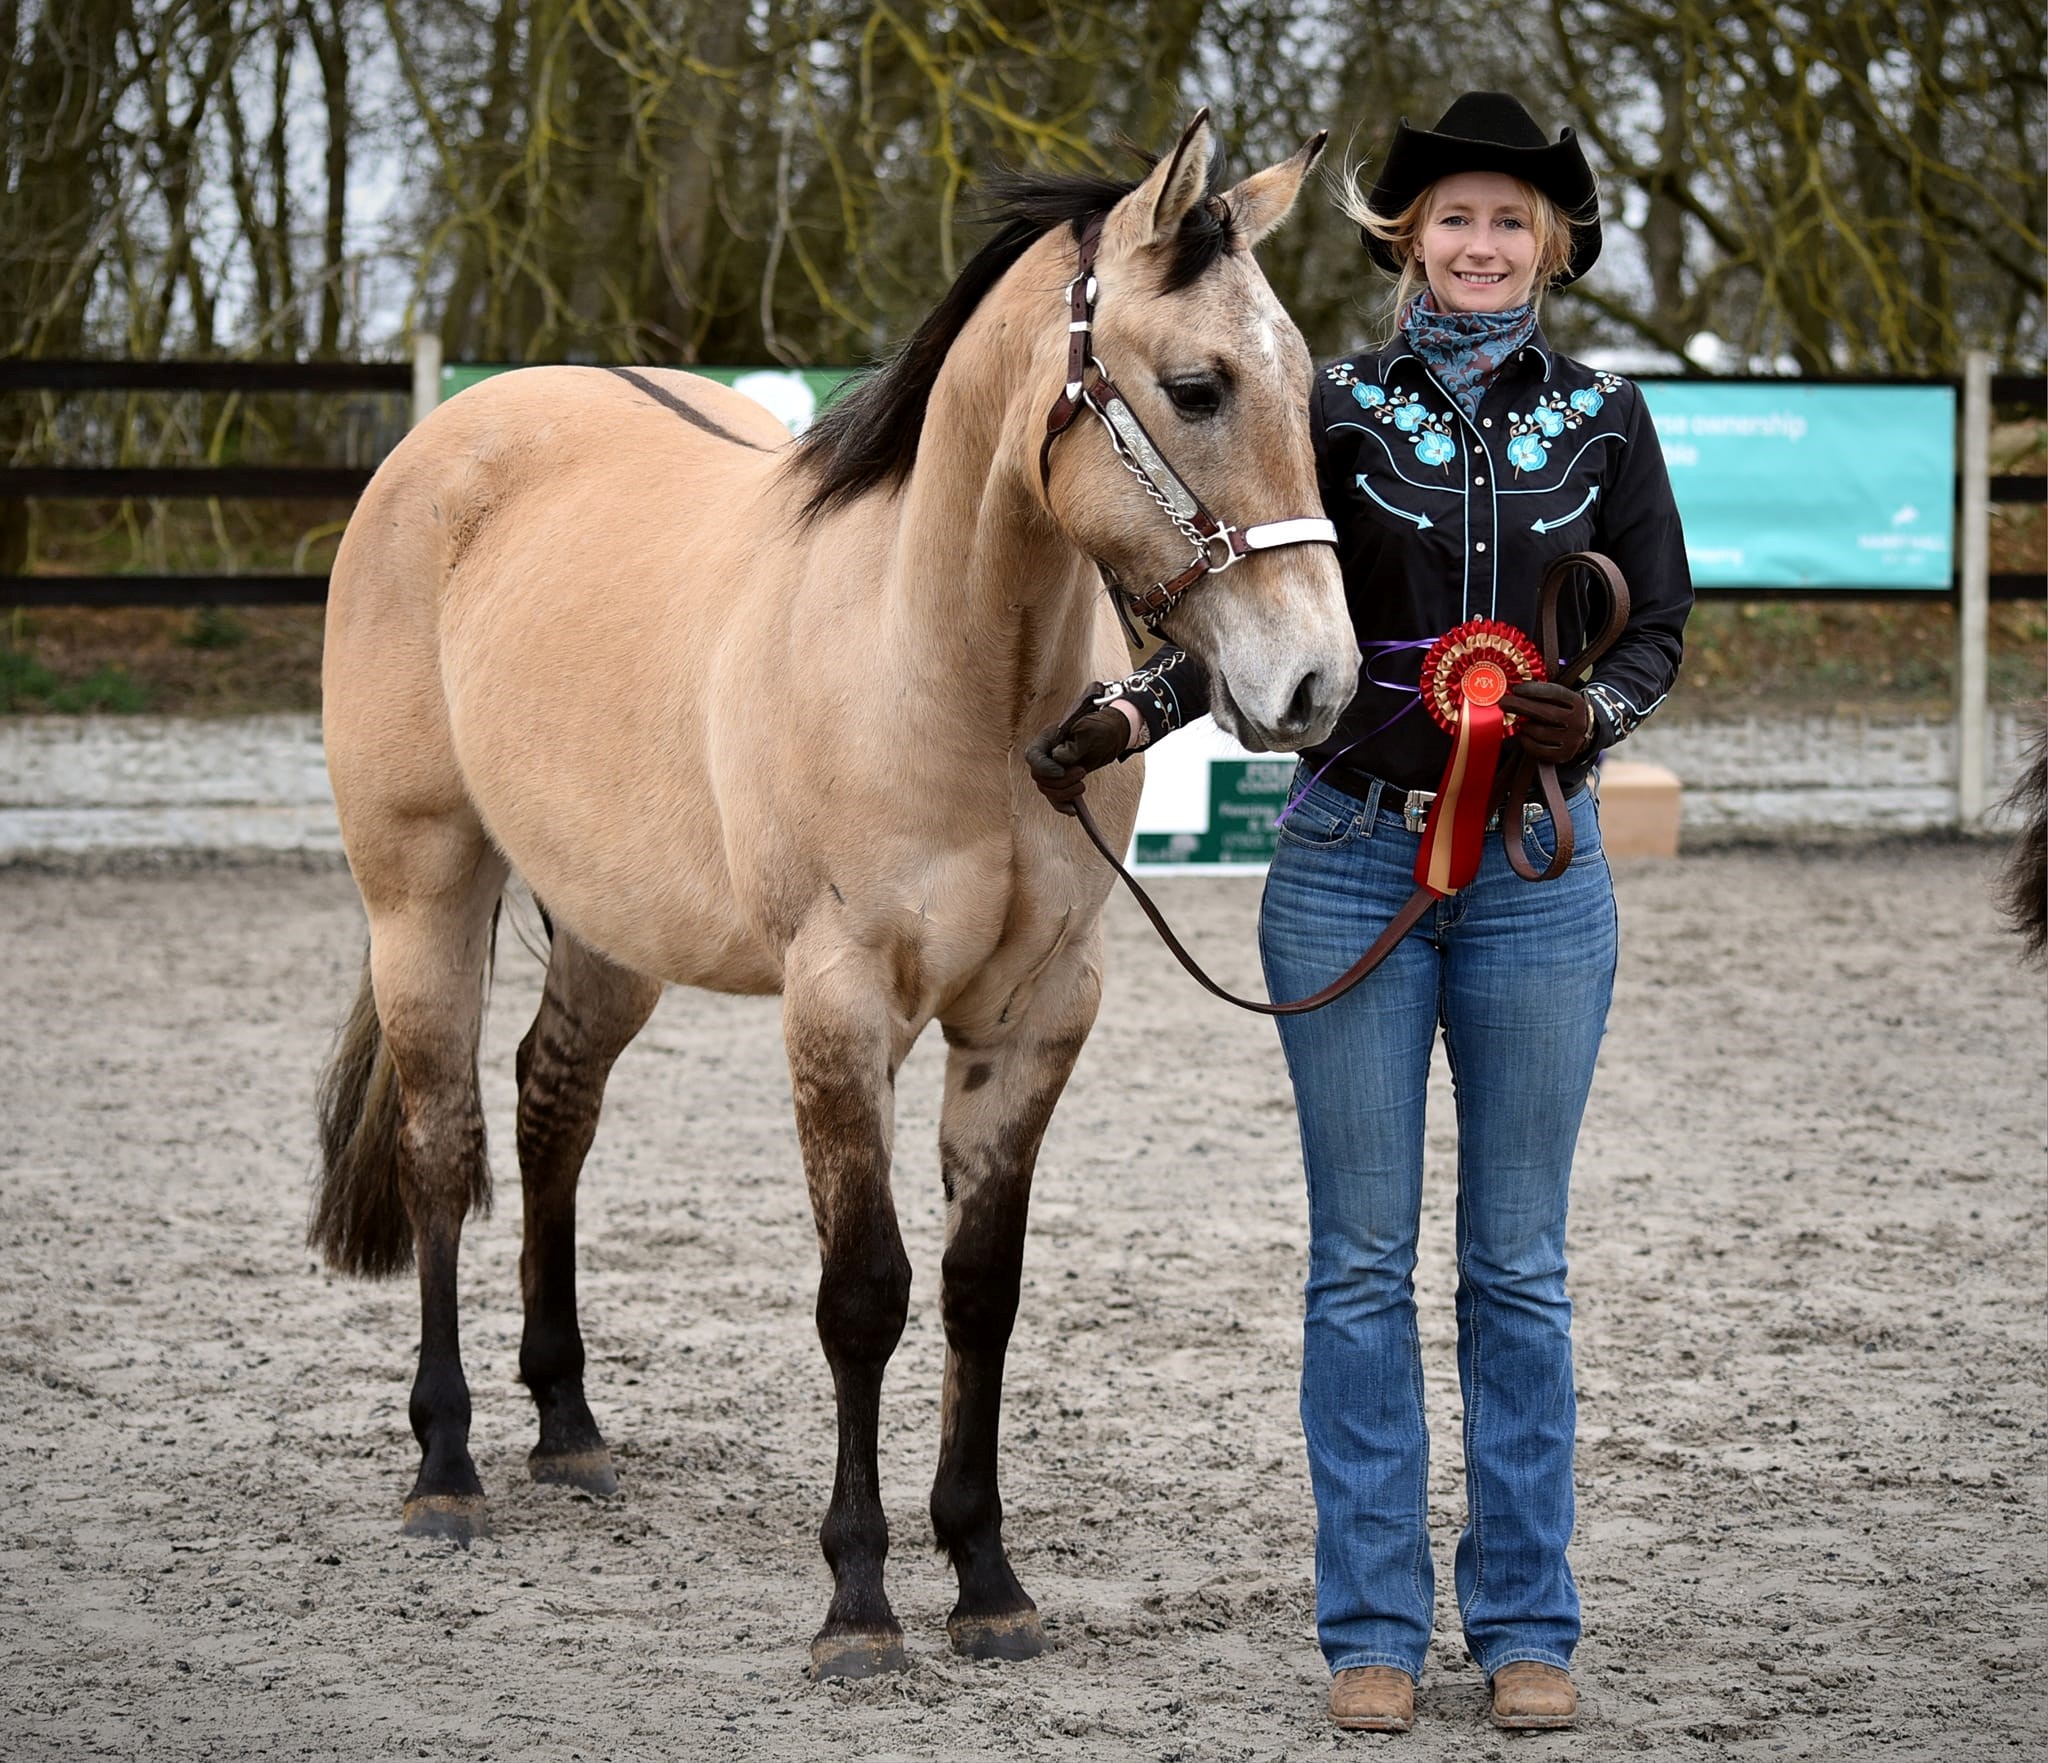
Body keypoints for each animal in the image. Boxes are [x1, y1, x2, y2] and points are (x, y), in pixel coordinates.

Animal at [311, 113, 1351, 1679]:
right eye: (1197, 386)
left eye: (1314, 388)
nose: (1317, 682)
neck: (945, 671)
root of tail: (447, 439)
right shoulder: (841, 1002)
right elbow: (864, 1292)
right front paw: (858, 1599)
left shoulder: (1036, 1012)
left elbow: (983, 1288)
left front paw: (986, 1577)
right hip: (420, 889)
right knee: (447, 1145)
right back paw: (447, 1468)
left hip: (611, 928)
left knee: (553, 1113)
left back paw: (569, 1427)